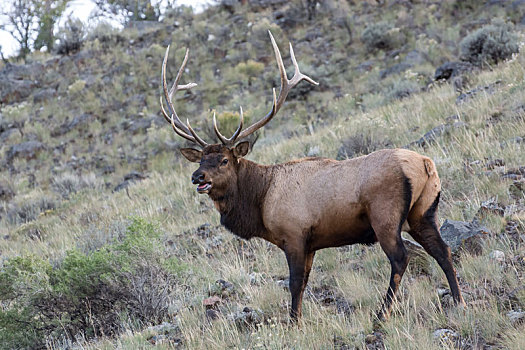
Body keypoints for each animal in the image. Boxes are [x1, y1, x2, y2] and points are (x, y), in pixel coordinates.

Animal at [158, 31, 464, 322]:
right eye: (201, 159)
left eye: (223, 160)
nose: (197, 177)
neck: (260, 200)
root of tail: (425, 164)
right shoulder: (312, 244)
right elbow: (304, 283)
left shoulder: (293, 235)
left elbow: (294, 284)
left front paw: (294, 323)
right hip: (423, 212)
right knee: (443, 250)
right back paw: (459, 301)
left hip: (385, 217)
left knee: (401, 258)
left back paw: (382, 314)